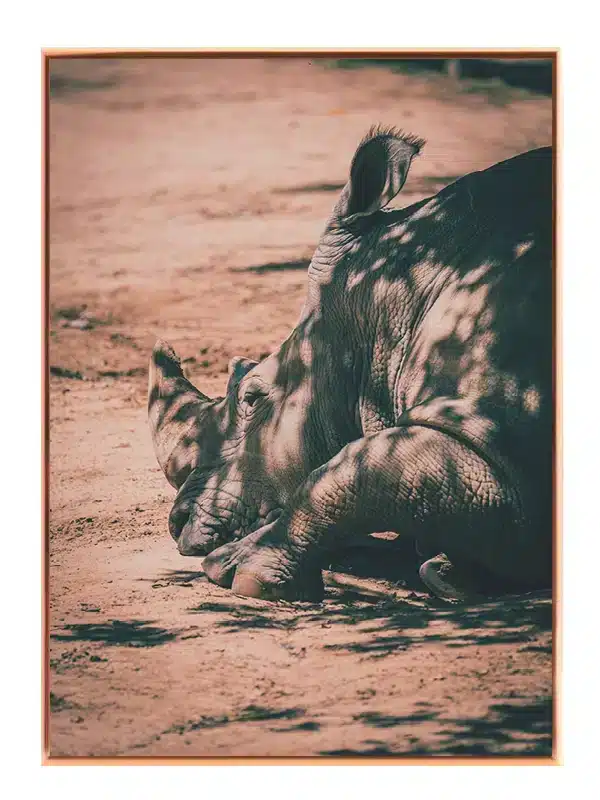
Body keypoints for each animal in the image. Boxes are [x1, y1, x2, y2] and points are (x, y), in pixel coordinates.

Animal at [148, 126, 553, 602]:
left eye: (251, 396)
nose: (177, 524)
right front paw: (447, 569)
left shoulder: (490, 431)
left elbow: (357, 471)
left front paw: (236, 569)